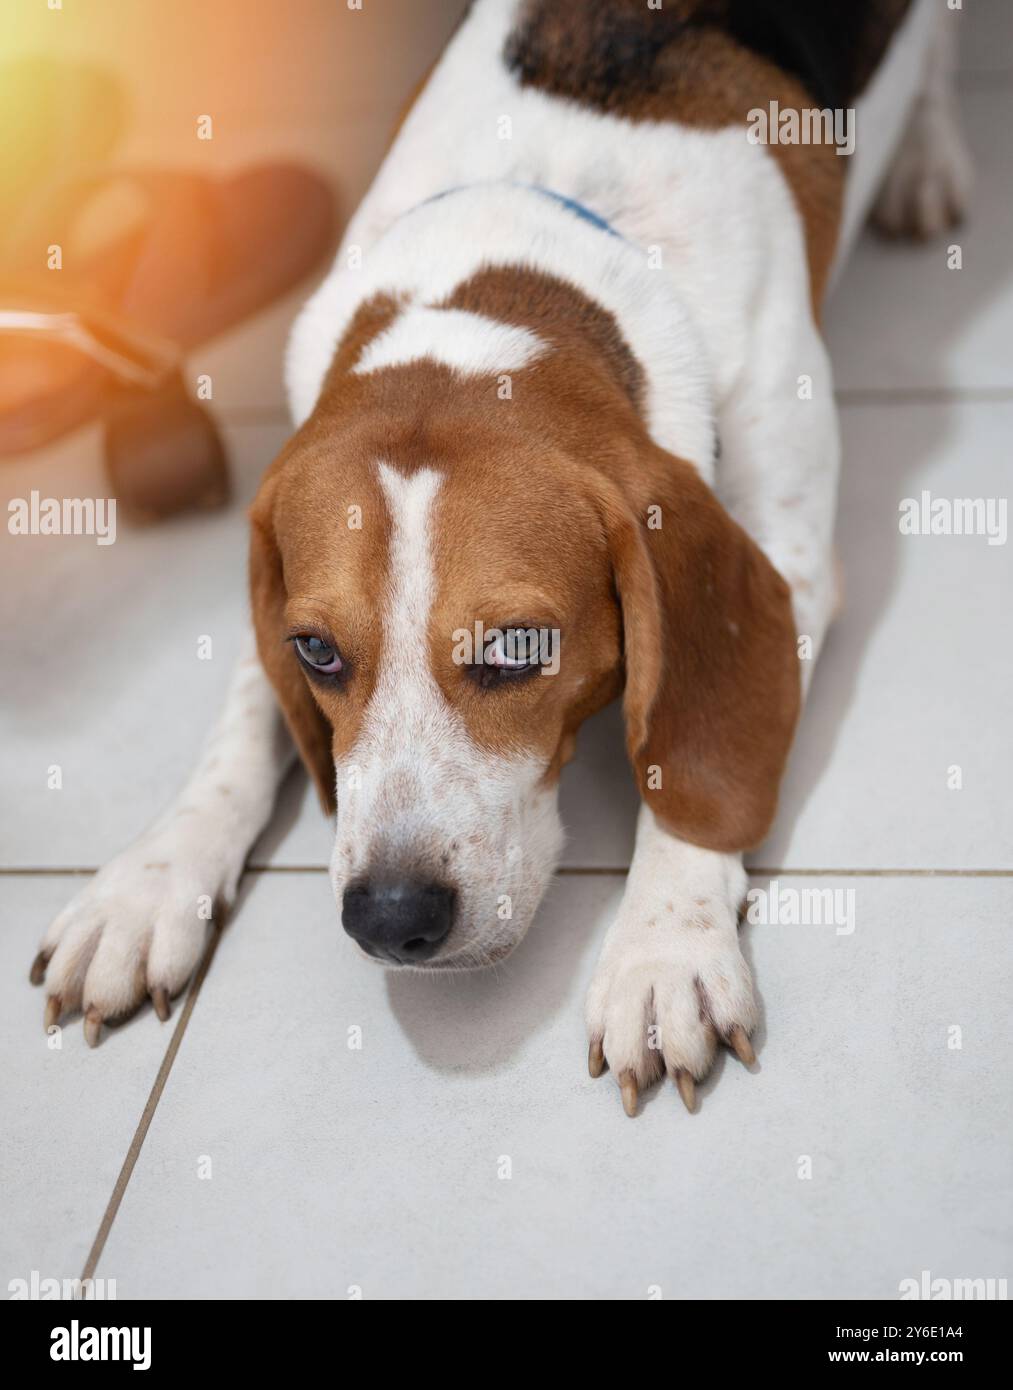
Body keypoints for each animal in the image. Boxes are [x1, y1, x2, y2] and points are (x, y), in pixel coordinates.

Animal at [35, 0, 972, 1112]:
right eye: (315, 653)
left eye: (519, 647)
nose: (388, 918)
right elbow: (236, 729)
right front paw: (148, 885)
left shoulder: (783, 553)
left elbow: (683, 766)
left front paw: (665, 947)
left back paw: (926, 161)